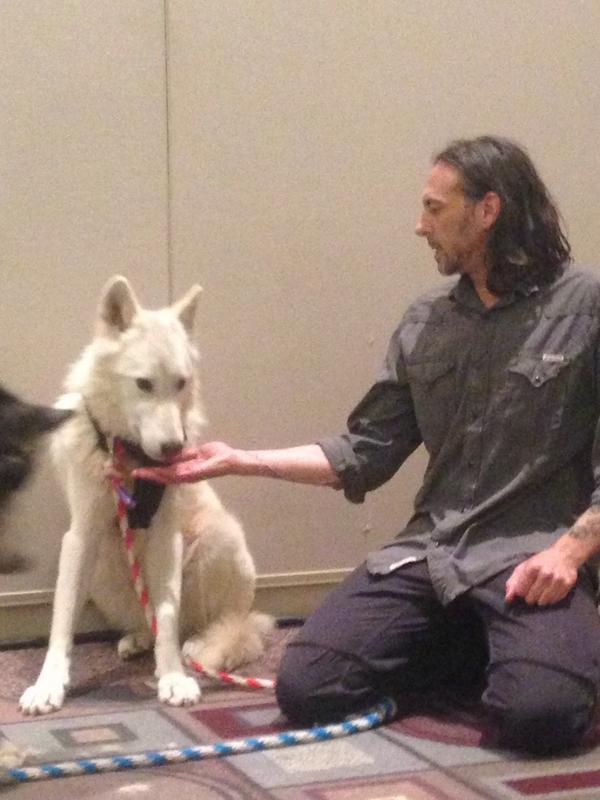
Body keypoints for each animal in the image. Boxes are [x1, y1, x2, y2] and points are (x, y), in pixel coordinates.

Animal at [19, 275, 272, 715]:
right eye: (143, 384)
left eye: (181, 383)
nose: (173, 448)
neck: (129, 457)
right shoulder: (81, 536)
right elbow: (62, 619)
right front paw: (48, 684)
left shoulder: (165, 537)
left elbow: (167, 617)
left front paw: (172, 677)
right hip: (102, 567)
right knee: (148, 620)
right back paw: (139, 638)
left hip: (219, 539)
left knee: (209, 625)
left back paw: (199, 644)